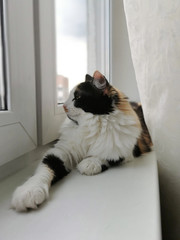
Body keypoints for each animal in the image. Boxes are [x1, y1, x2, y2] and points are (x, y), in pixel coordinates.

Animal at [11, 70, 152, 211]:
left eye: (77, 97)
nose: (63, 107)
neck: (91, 125)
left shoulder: (126, 151)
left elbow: (106, 156)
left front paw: (89, 163)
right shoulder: (61, 151)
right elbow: (45, 169)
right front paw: (29, 191)